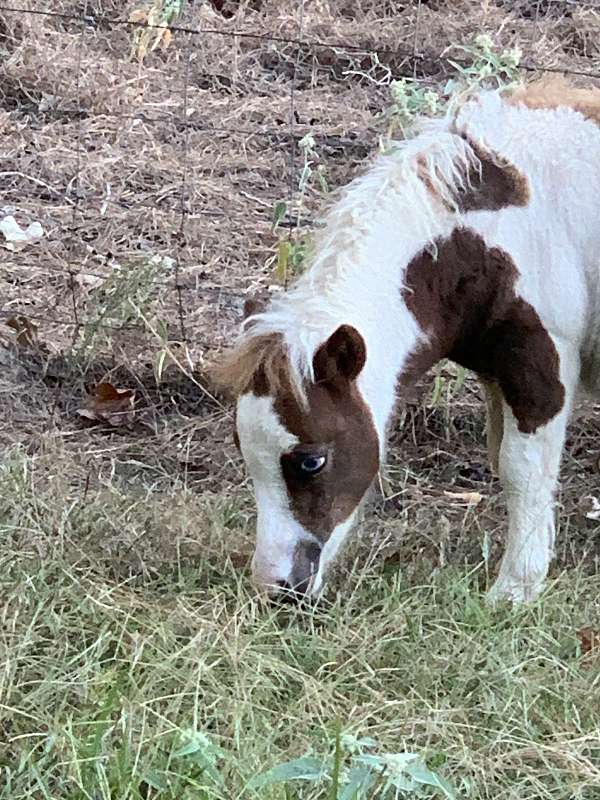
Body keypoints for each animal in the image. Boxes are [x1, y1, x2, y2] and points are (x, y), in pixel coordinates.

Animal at [216, 78, 600, 604]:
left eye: (311, 461)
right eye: (242, 448)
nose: (278, 589)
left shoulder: (542, 361)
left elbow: (524, 470)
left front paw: (515, 590)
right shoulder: (496, 372)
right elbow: (502, 460)